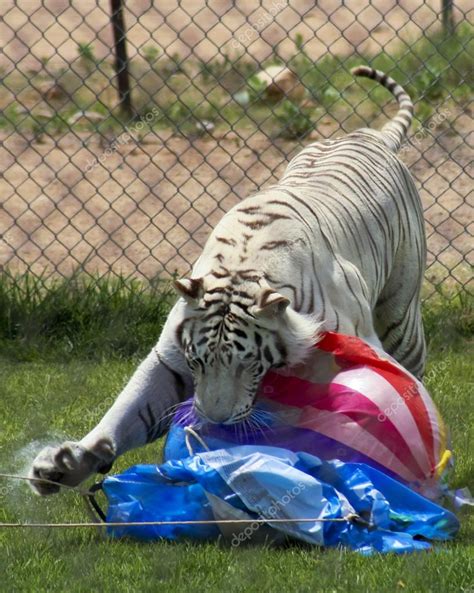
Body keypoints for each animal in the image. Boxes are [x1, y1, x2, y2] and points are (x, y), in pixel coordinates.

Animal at [31, 66, 428, 494]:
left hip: (401, 317)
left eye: (249, 364)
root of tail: (371, 134)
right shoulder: (170, 360)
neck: (243, 265)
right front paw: (65, 464)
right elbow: (126, 411)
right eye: (197, 361)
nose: (215, 421)